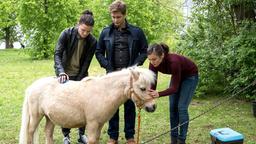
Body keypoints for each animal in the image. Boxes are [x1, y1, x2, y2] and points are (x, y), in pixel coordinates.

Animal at [18, 67, 156, 143]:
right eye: (142, 88)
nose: (153, 107)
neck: (103, 92)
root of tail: (32, 86)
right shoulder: (92, 124)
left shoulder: (99, 125)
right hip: (36, 116)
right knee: (30, 132)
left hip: (50, 117)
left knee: (48, 133)